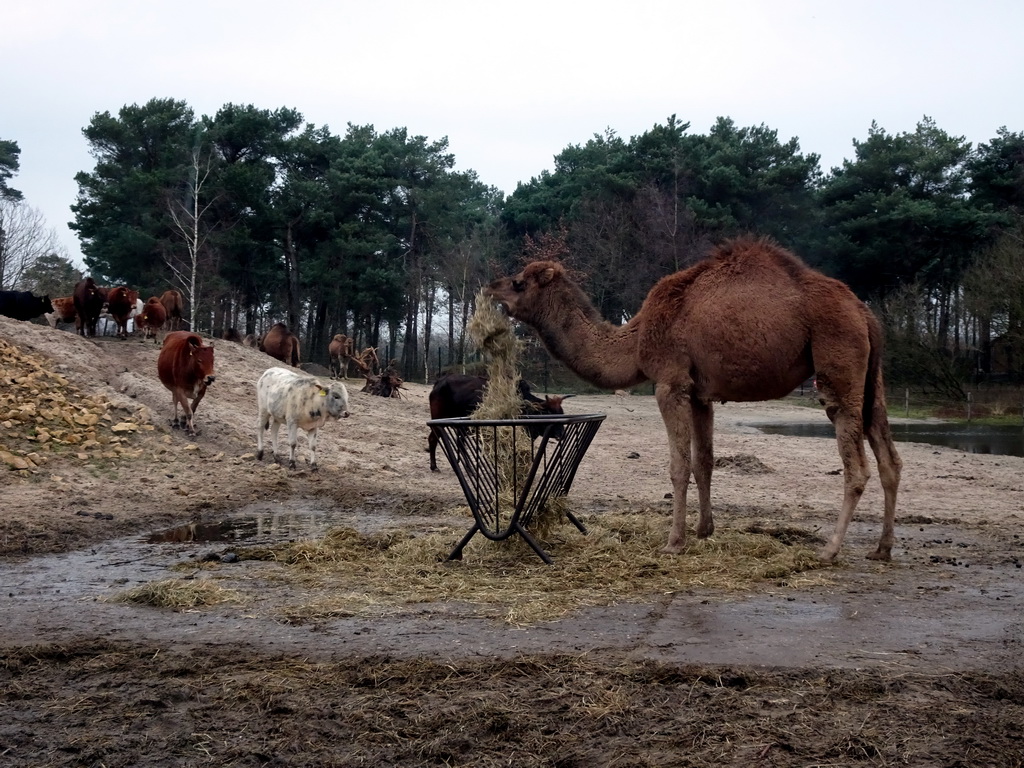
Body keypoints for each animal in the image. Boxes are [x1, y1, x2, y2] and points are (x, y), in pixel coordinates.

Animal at [423, 374, 569, 473]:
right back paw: (435, 466)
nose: (562, 434)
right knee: (433, 439)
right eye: (549, 412)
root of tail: (439, 382)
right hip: (438, 421)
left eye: (561, 413)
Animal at [487, 236, 905, 565]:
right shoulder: (702, 394)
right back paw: (882, 549)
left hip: (838, 362)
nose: (491, 287)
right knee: (889, 457)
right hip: (873, 379)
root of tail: (864, 312)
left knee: (857, 465)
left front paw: (674, 542)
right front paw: (705, 530)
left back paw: (830, 549)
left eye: (518, 282)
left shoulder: (670, 382)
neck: (635, 338)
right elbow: (704, 462)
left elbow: (679, 465)